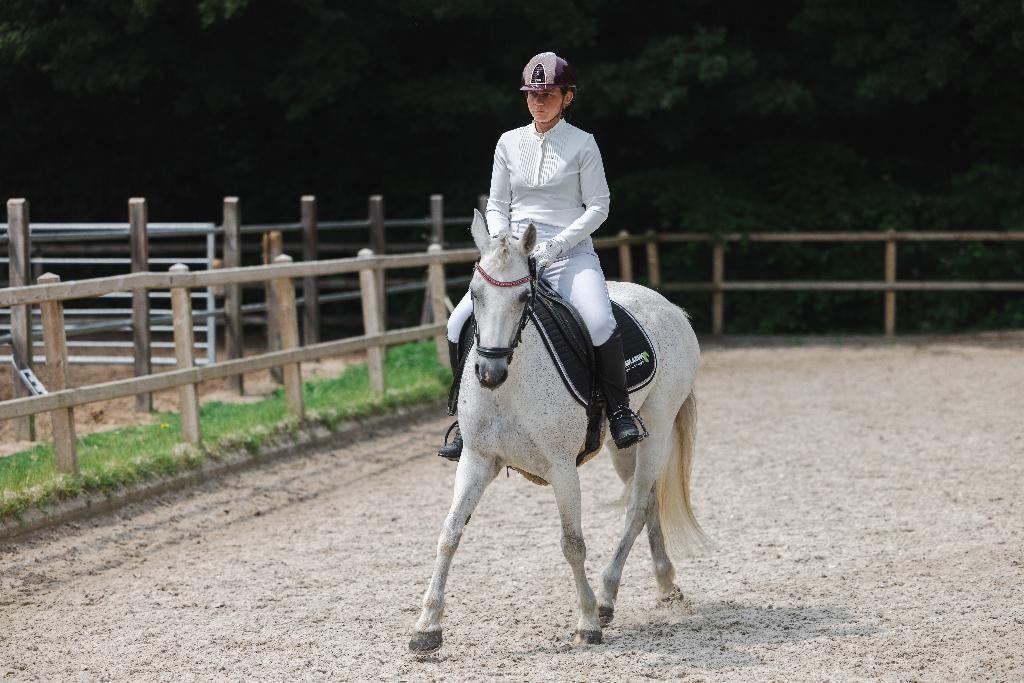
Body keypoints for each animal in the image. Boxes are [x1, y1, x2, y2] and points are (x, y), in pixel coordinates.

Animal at [409, 210, 703, 653]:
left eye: (523, 299)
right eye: (475, 294)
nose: (489, 373)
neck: (510, 385)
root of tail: (670, 308)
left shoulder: (562, 468)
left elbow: (572, 543)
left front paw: (587, 622)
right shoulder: (476, 460)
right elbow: (450, 533)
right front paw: (427, 627)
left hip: (658, 428)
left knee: (636, 508)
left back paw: (606, 599)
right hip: (624, 447)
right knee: (649, 501)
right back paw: (662, 585)